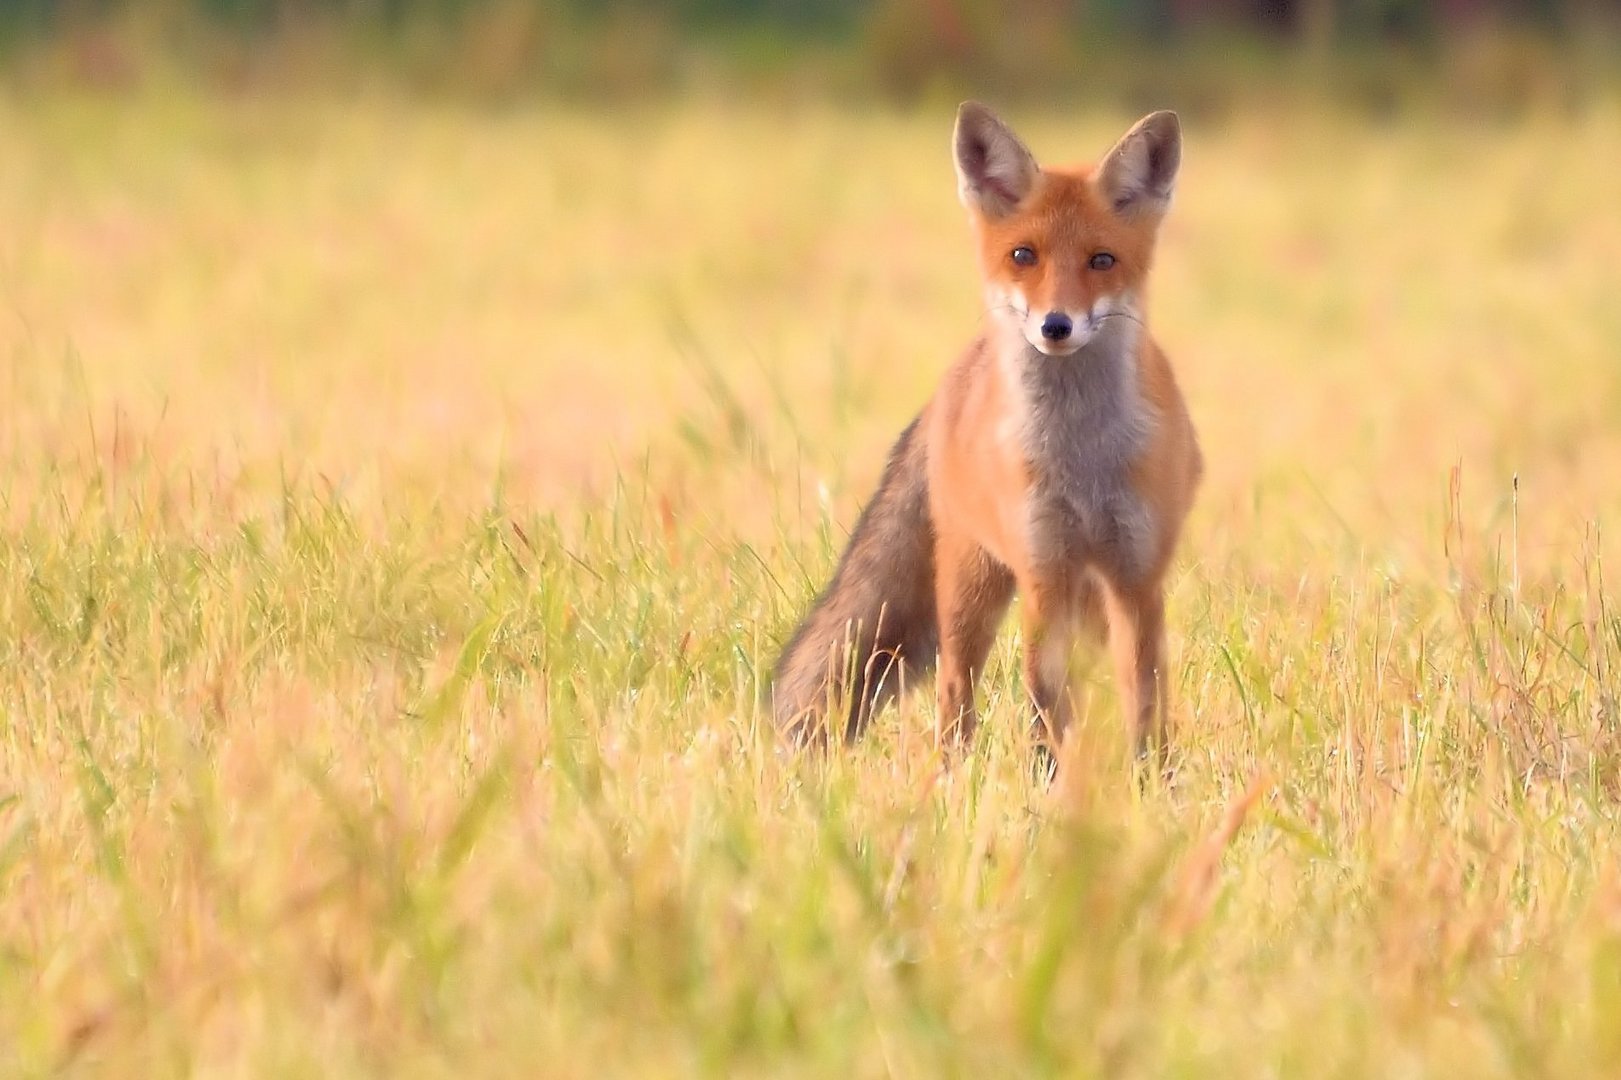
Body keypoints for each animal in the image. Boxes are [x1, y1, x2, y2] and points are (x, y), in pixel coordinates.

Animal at [771, 98, 1206, 755]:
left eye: (1102, 260)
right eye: (1023, 256)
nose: (1056, 325)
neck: (1082, 461)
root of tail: (955, 376)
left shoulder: (1137, 576)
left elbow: (1145, 700)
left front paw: (1150, 774)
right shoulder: (1042, 571)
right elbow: (1044, 700)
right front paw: (1048, 775)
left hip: (1085, 594)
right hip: (970, 586)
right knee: (955, 695)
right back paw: (955, 770)